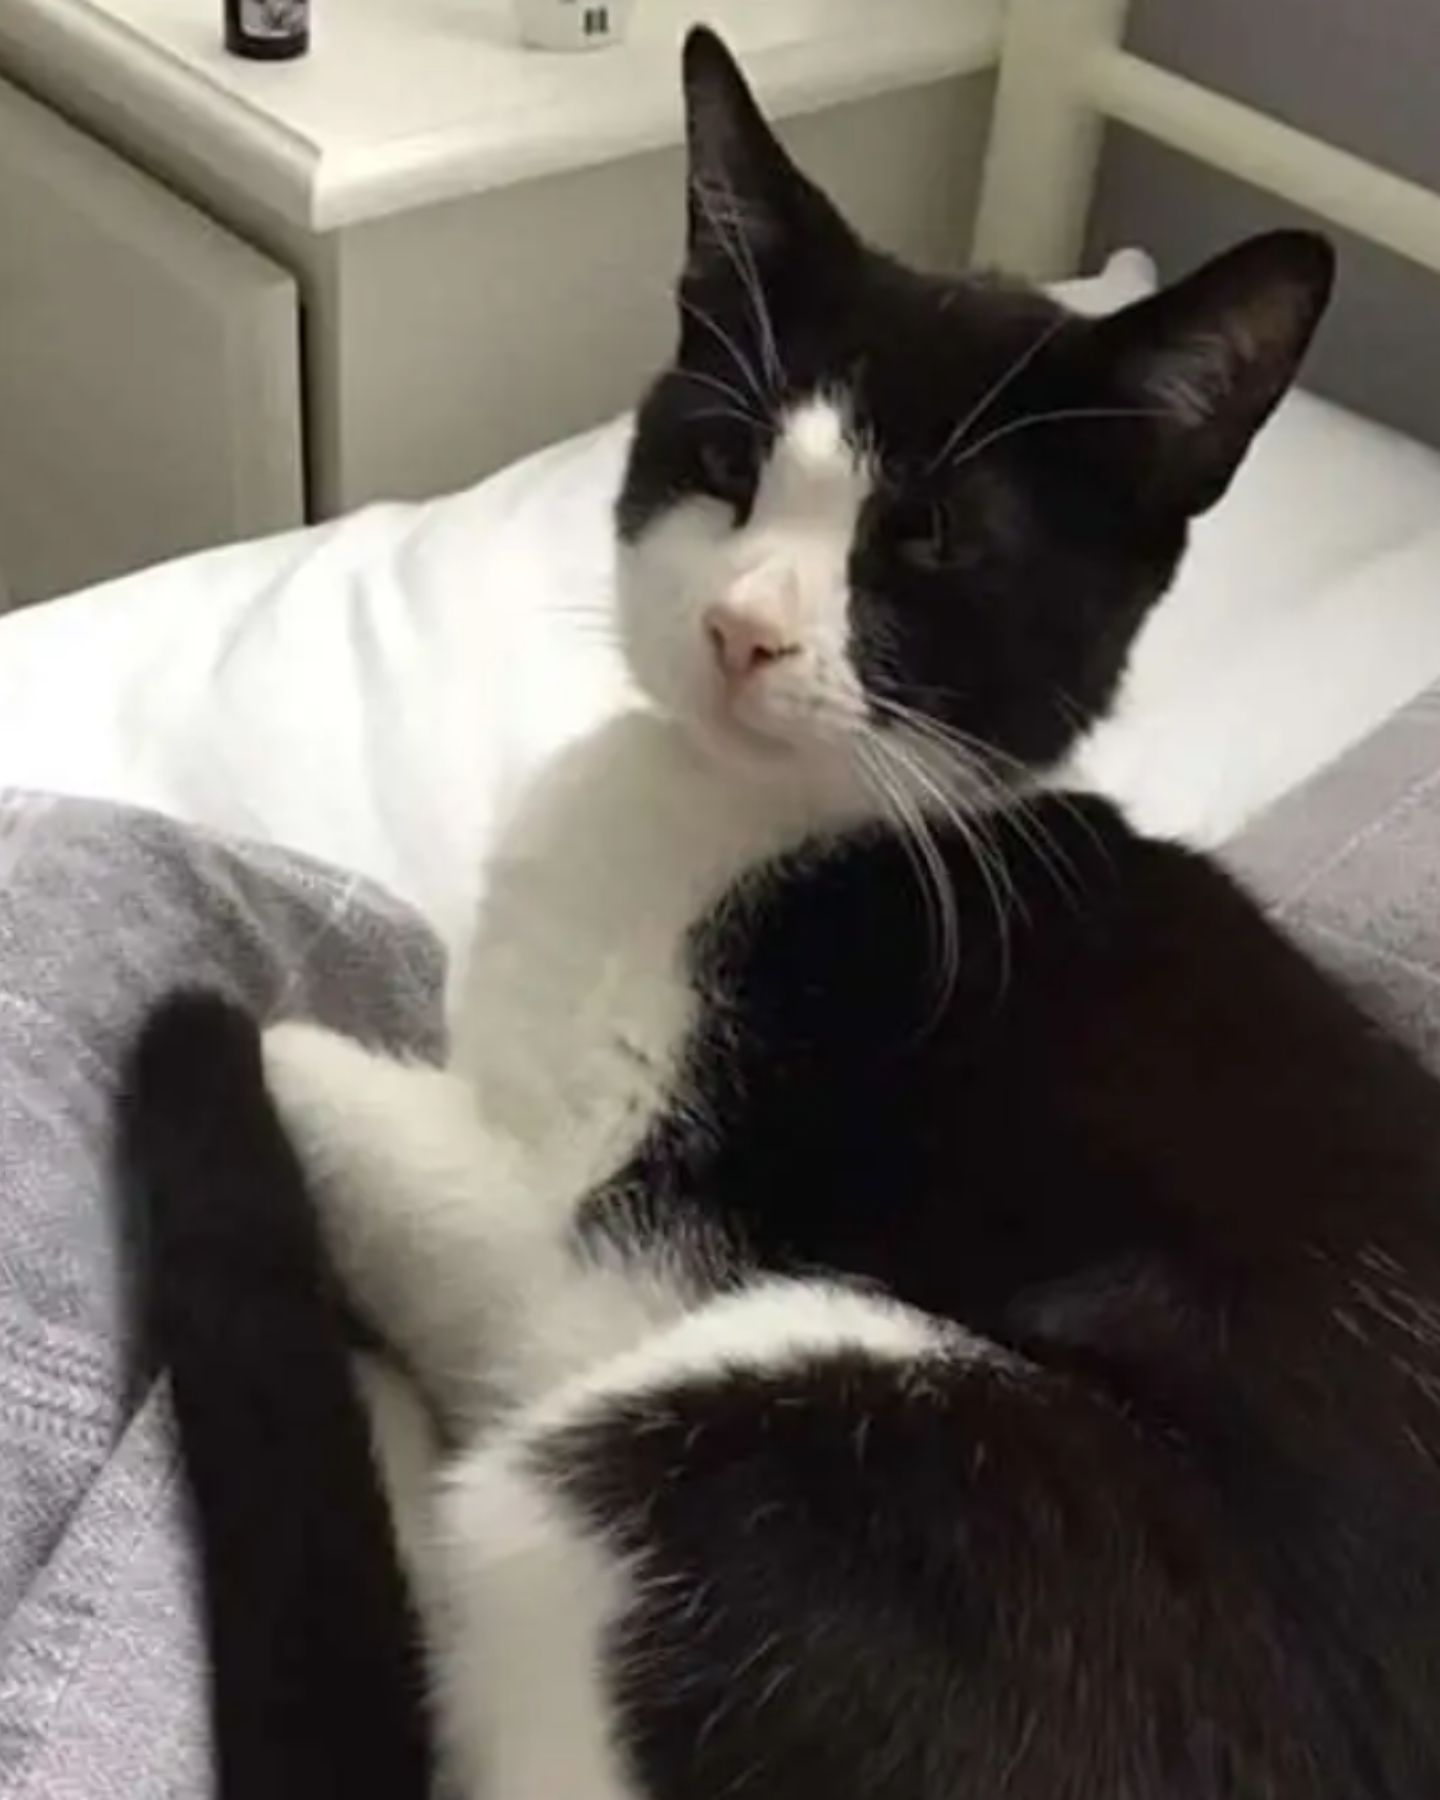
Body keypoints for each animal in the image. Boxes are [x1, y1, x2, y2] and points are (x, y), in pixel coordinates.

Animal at [117, 24, 1440, 1800]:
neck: (782, 824)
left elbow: (291, 1048)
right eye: (728, 462)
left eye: (930, 537)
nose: (744, 627)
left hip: (767, 1430)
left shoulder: (589, 1266)